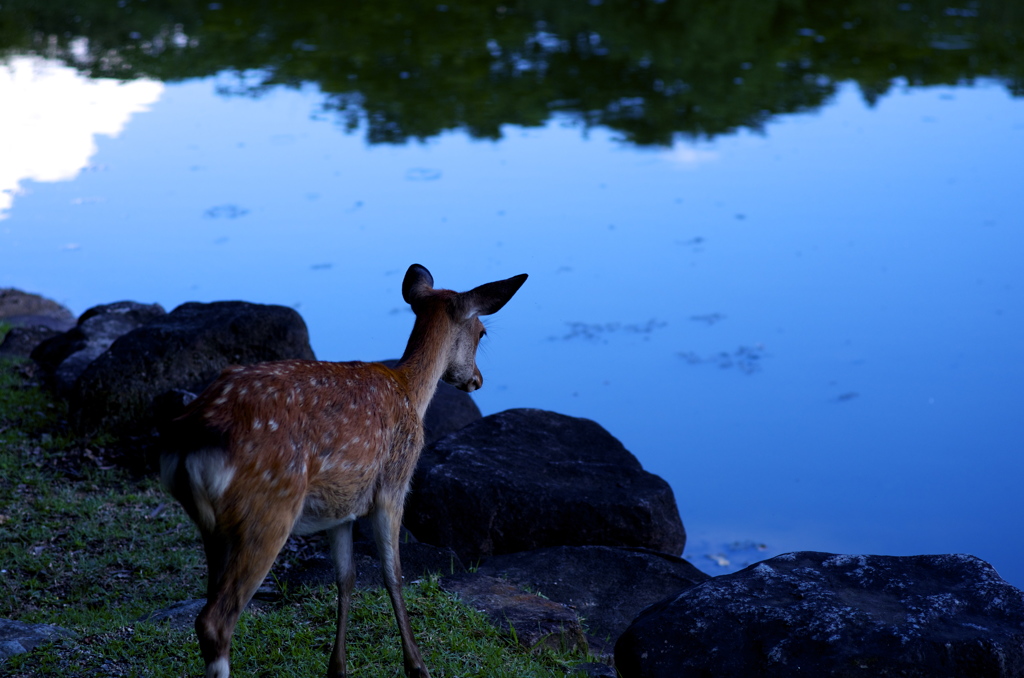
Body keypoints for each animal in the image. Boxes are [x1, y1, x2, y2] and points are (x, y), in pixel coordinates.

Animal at [161, 266, 528, 678]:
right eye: (482, 332)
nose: (476, 380)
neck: (411, 394)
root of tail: (192, 438)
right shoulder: (393, 487)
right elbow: (393, 574)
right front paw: (417, 666)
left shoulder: (340, 507)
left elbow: (346, 578)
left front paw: (337, 668)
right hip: (268, 509)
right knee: (216, 620)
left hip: (211, 526)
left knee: (207, 608)